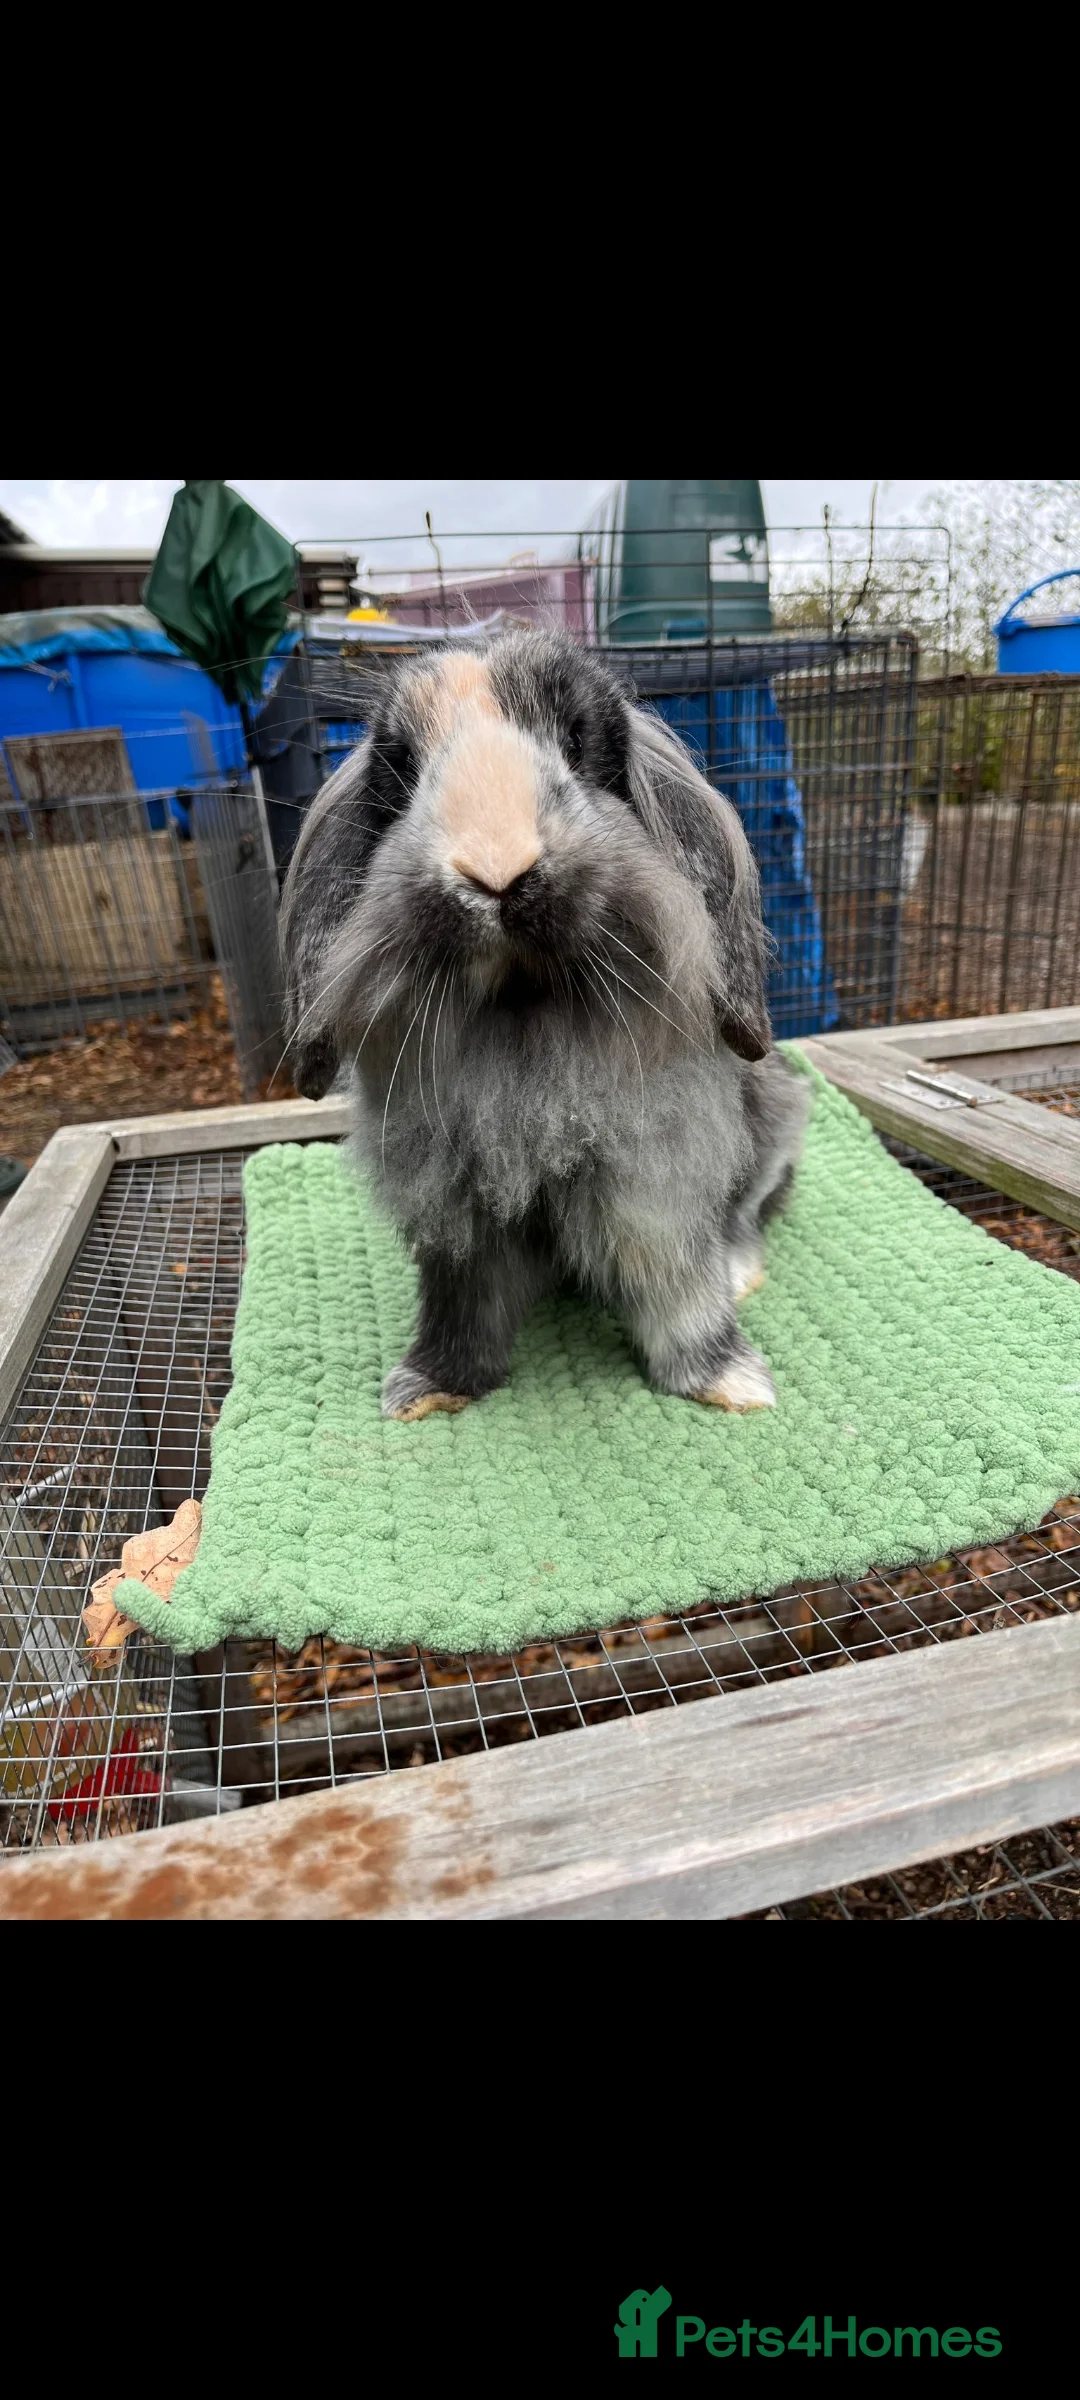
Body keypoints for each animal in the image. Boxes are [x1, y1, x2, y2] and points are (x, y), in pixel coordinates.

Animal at [279, 628, 809, 1422]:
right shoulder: (453, 1204)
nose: (496, 868)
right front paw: (430, 1387)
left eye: (579, 740)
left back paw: (741, 1272)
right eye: (401, 767)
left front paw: (727, 1382)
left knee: (749, 1215)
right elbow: (461, 1302)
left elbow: (677, 1284)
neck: (524, 1015)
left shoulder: (654, 1182)